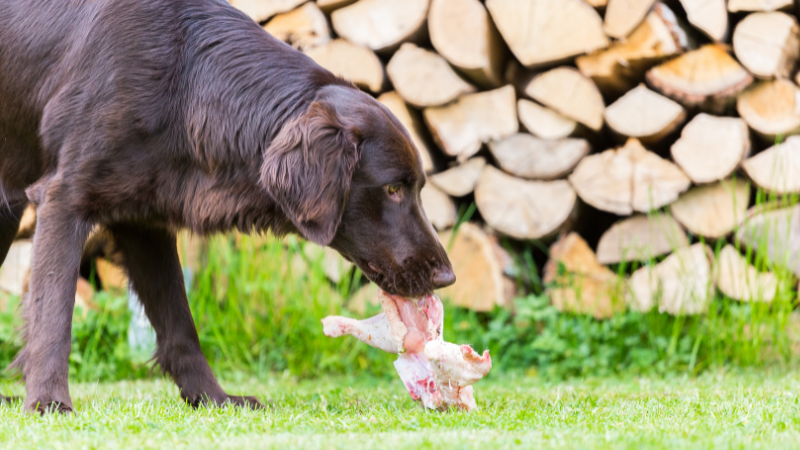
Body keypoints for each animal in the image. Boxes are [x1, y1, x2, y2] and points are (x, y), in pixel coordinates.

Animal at [0, 0, 456, 414]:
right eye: (393, 188)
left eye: (419, 187)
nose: (447, 277)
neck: (184, 85)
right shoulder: (64, 197)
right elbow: (53, 313)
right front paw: (47, 400)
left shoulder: (144, 221)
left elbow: (179, 323)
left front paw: (212, 398)